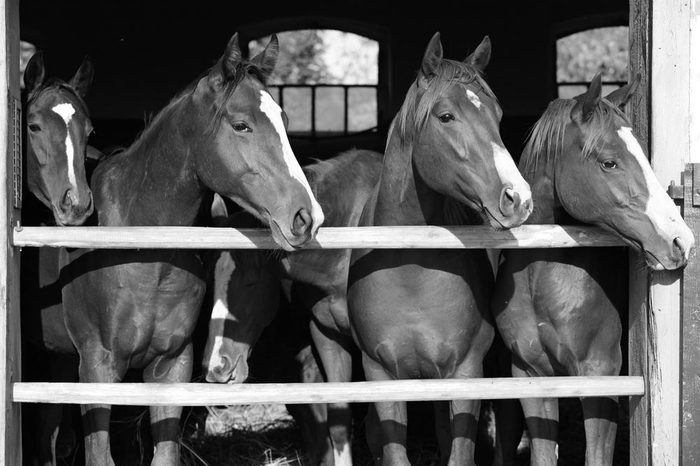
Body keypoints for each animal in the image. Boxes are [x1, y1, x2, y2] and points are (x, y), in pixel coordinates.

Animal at [57, 33, 326, 466]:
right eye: (241, 124)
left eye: (285, 122)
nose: (307, 216)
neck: (144, 254)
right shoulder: (96, 369)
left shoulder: (172, 367)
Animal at [348, 33, 532, 466]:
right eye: (446, 116)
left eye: (498, 116)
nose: (518, 198)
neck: (409, 269)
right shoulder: (381, 374)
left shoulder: (466, 372)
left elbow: (460, 451)